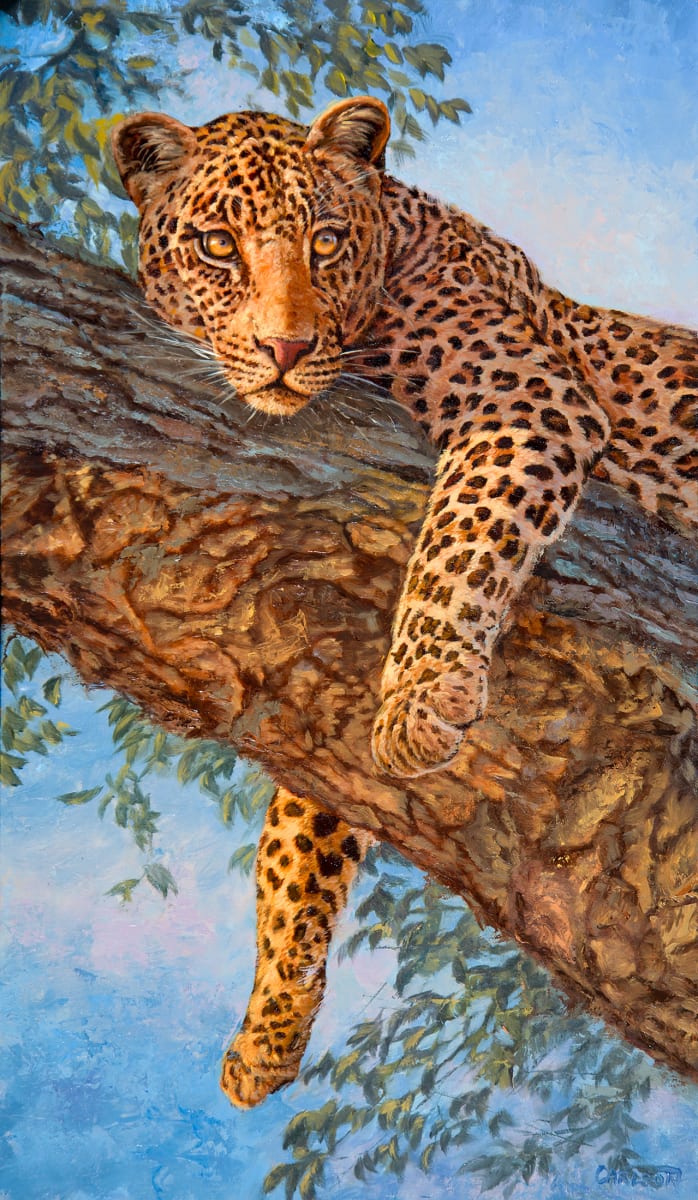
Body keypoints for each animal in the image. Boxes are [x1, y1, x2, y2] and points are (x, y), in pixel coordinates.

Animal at [111, 95, 697, 1107]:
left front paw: (422, 698)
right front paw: (270, 1028)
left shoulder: (527, 400)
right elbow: (299, 831)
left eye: (326, 241)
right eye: (221, 246)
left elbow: (460, 538)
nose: (285, 350)